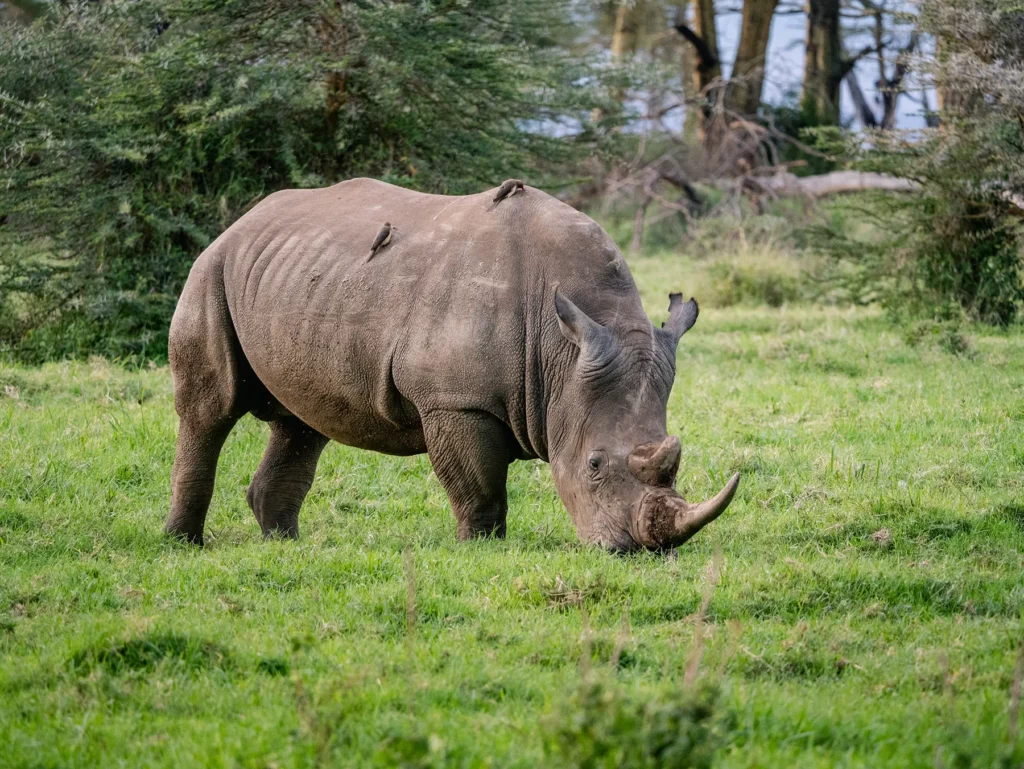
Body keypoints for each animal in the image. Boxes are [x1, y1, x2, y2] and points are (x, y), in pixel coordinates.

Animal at [164, 178, 740, 551]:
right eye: (594, 464)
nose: (637, 549)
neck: (560, 353)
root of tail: (242, 221)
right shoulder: (456, 400)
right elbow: (478, 486)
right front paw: (480, 549)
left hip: (297, 275)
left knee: (301, 424)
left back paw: (284, 545)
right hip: (211, 269)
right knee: (209, 411)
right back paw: (183, 545)